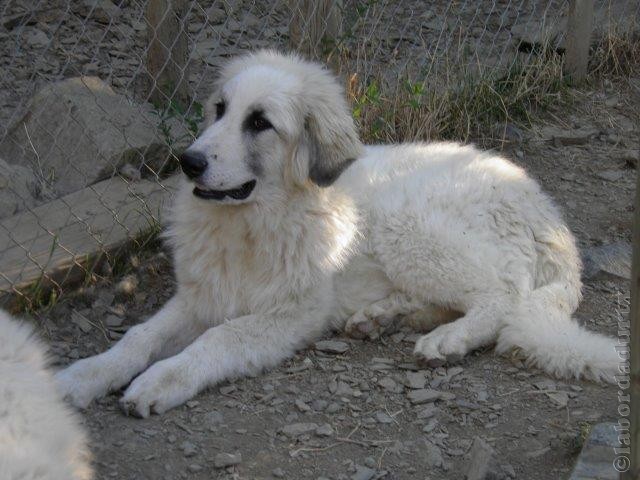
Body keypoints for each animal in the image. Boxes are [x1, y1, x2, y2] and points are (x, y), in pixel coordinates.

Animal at [56, 49, 620, 416]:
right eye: (219, 110)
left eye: (259, 122)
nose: (188, 162)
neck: (255, 222)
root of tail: (547, 213)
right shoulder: (201, 296)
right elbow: (138, 336)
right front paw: (84, 375)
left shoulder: (291, 313)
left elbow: (219, 337)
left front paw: (161, 381)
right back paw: (383, 317)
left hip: (407, 223)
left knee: (502, 295)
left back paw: (449, 338)